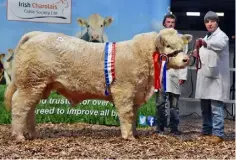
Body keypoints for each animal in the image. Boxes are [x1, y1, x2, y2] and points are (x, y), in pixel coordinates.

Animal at [4, 28, 193, 141]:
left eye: (182, 45)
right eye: (168, 45)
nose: (186, 59)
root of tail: (36, 33)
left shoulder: (136, 92)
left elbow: (133, 114)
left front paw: (134, 133)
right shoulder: (124, 90)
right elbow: (126, 113)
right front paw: (128, 136)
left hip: (38, 85)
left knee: (30, 108)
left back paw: (32, 134)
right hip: (31, 83)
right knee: (20, 105)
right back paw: (19, 136)